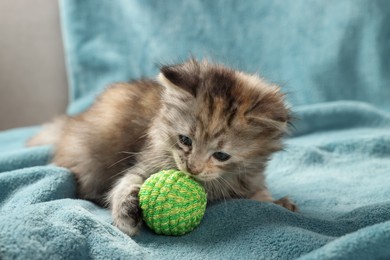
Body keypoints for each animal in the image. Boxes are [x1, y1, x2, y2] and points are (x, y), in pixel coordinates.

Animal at [28, 58, 296, 236]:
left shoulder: (250, 178)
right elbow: (125, 183)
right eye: (185, 140)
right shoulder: (147, 161)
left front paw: (278, 203)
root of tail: (73, 121)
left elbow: (258, 194)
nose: (192, 168)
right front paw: (126, 213)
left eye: (221, 155)